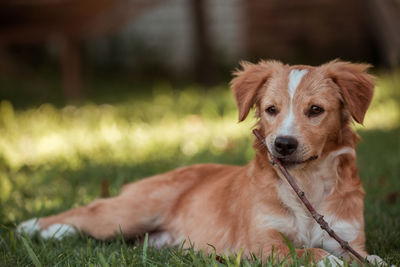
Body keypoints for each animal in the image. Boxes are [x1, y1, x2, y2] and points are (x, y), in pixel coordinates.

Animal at [17, 59, 386, 266]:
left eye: (315, 110)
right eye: (271, 109)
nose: (282, 144)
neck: (305, 180)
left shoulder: (347, 237)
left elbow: (367, 256)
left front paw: (373, 261)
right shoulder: (259, 244)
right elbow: (302, 252)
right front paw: (327, 261)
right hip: (129, 212)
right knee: (86, 212)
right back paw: (35, 227)